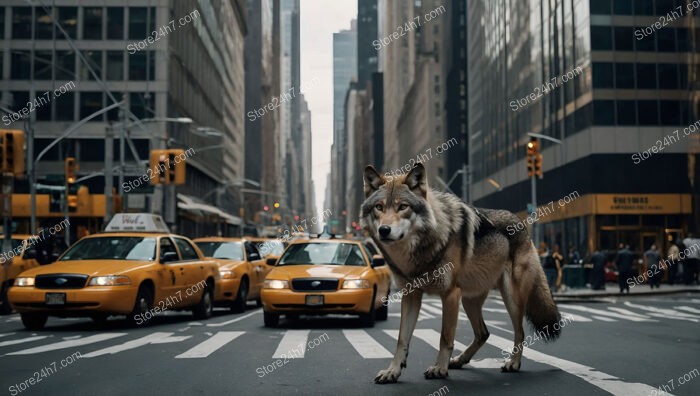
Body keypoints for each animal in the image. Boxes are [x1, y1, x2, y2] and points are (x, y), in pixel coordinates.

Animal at [360, 162, 564, 382]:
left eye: (403, 207)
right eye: (379, 207)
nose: (384, 230)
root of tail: (522, 225)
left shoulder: (450, 294)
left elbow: (445, 337)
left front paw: (439, 369)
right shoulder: (411, 295)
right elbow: (401, 339)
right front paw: (393, 371)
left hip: (511, 298)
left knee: (520, 333)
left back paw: (513, 363)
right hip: (469, 300)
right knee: (484, 333)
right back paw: (459, 360)